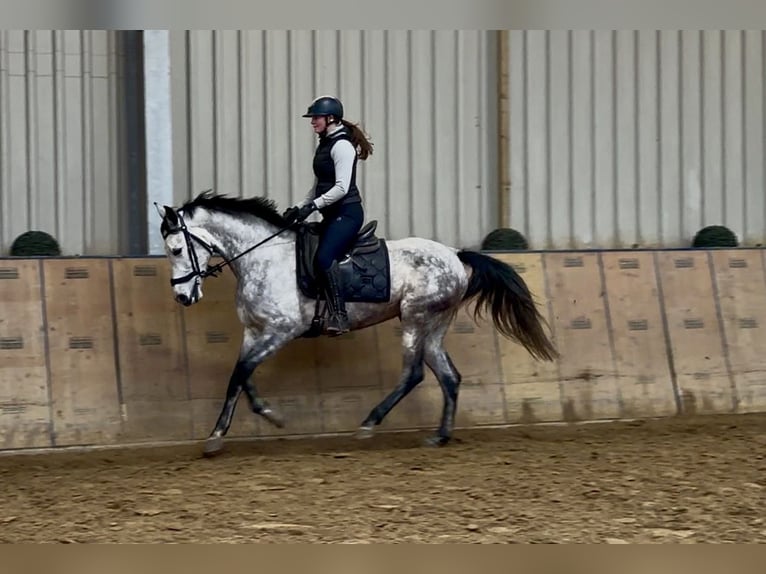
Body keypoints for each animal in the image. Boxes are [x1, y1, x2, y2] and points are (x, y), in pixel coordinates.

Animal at [155, 190, 558, 456]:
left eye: (177, 249)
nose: (182, 298)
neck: (262, 257)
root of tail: (456, 256)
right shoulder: (254, 332)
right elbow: (241, 376)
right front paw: (254, 420)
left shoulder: (282, 331)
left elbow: (242, 372)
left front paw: (223, 435)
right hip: (434, 325)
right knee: (449, 377)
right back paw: (439, 436)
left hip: (415, 318)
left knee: (414, 374)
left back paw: (369, 424)